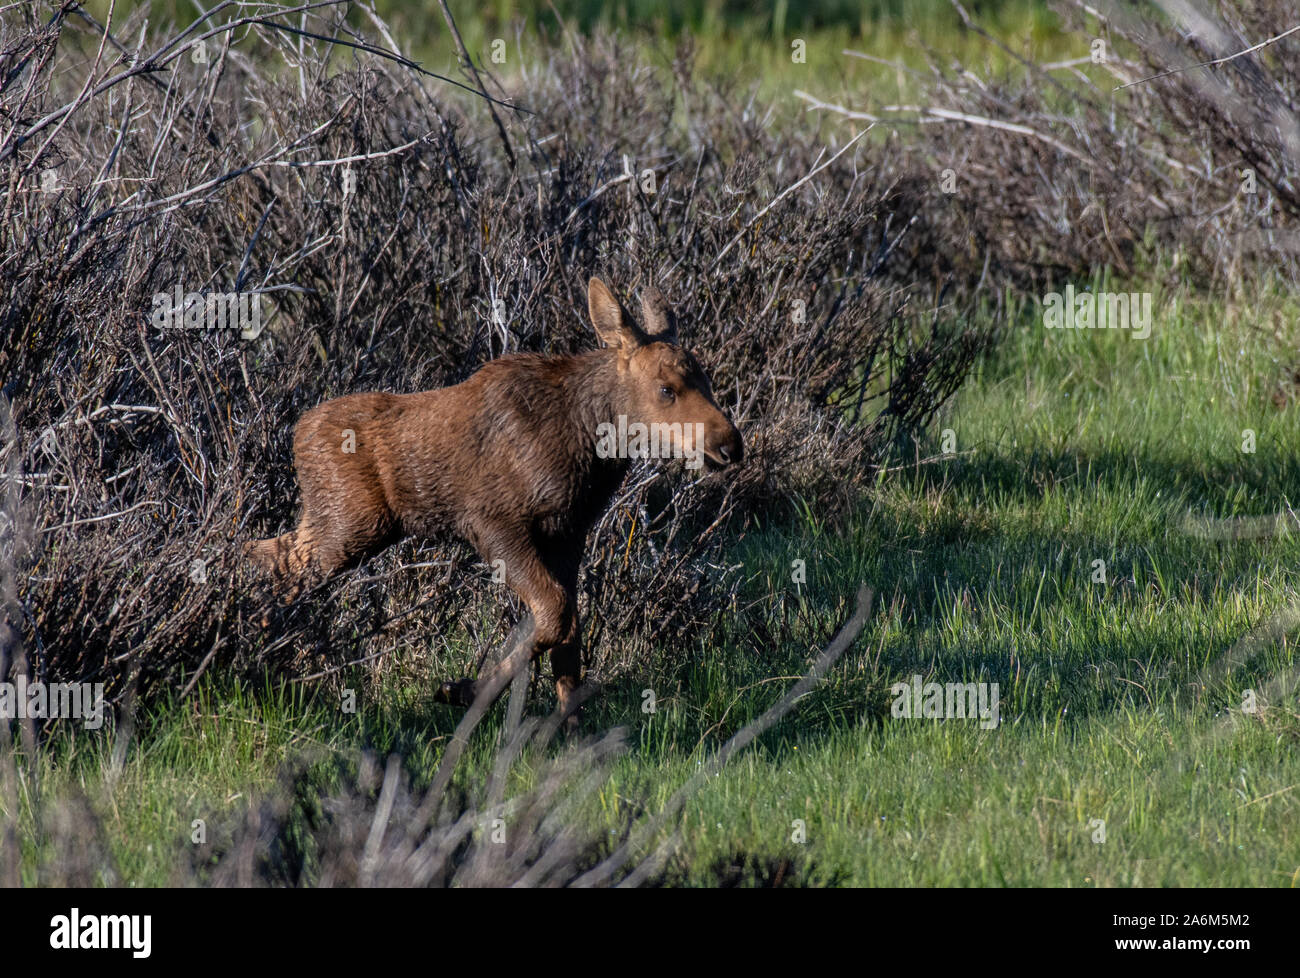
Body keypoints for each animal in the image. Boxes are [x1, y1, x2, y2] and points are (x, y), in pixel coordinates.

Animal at [246, 277, 743, 727]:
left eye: (705, 379)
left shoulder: (568, 536)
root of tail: (296, 433)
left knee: (261, 552)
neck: (594, 451)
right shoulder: (492, 522)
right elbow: (555, 615)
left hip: (337, 525)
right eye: (666, 389)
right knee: (278, 567)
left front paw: (572, 734)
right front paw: (463, 690)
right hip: (349, 527)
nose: (729, 445)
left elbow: (569, 638)